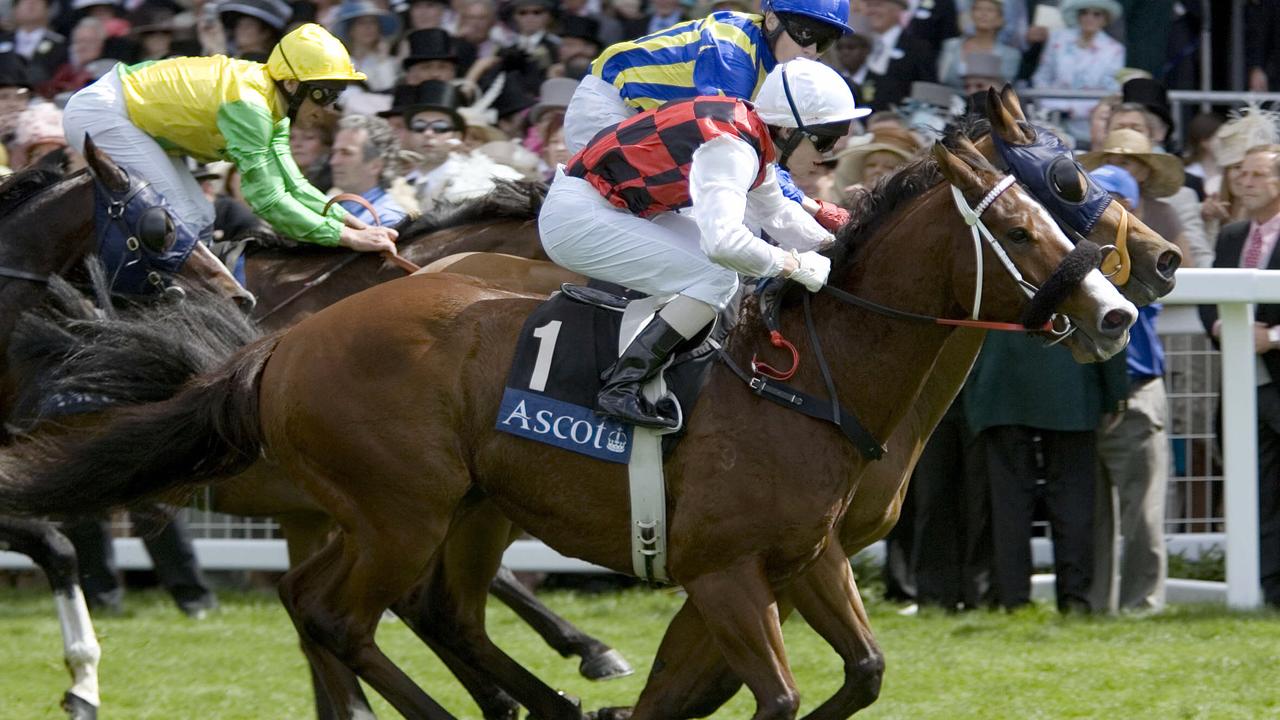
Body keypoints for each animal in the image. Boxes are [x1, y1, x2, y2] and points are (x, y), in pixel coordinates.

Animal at [0, 133, 1136, 712]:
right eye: (1019, 226)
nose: (1120, 309)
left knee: (400, 612)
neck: (812, 377)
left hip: (456, 510)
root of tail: (276, 345)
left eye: (1063, 203)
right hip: (401, 511)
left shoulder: (802, 557)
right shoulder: (725, 570)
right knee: (338, 616)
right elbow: (765, 696)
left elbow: (856, 674)